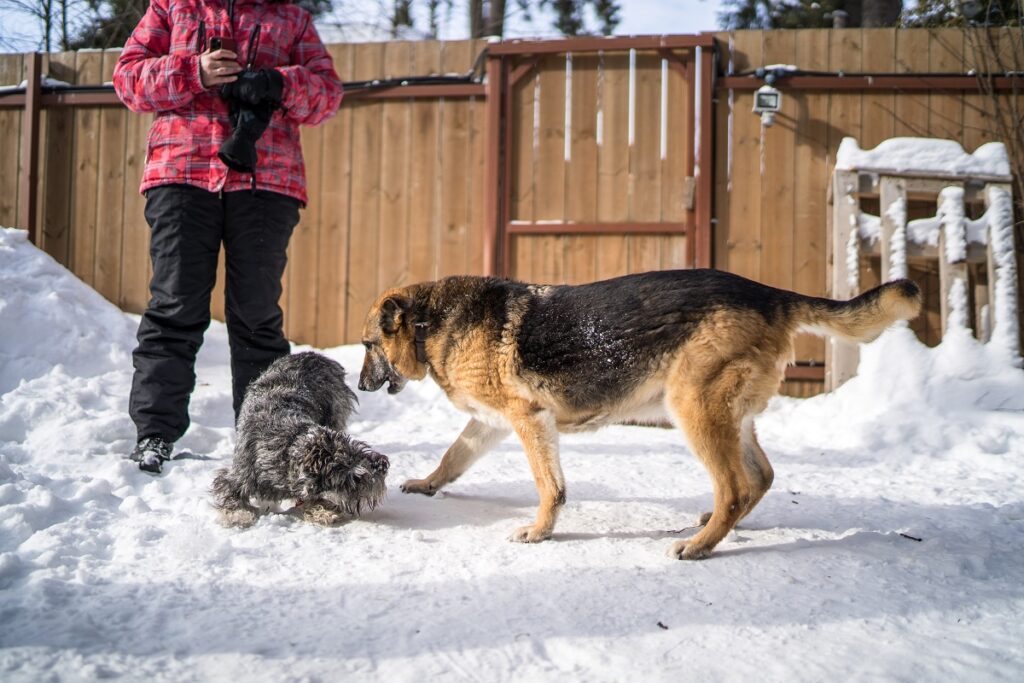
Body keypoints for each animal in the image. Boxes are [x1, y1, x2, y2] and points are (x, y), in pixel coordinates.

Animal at [209, 350, 389, 528]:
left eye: (358, 448)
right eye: (353, 477)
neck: (288, 446)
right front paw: (238, 515)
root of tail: (314, 355)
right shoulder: (239, 476)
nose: (383, 464)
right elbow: (228, 491)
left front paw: (323, 511)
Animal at [360, 270, 921, 557]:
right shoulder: (489, 424)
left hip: (693, 410)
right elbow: (452, 457)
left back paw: (699, 546)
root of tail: (769, 294)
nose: (361, 386)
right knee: (758, 478)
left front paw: (541, 531)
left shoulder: (528, 419)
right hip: (729, 417)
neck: (432, 323)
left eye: (368, 345)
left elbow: (549, 486)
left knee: (735, 487)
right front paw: (427, 484)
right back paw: (719, 525)